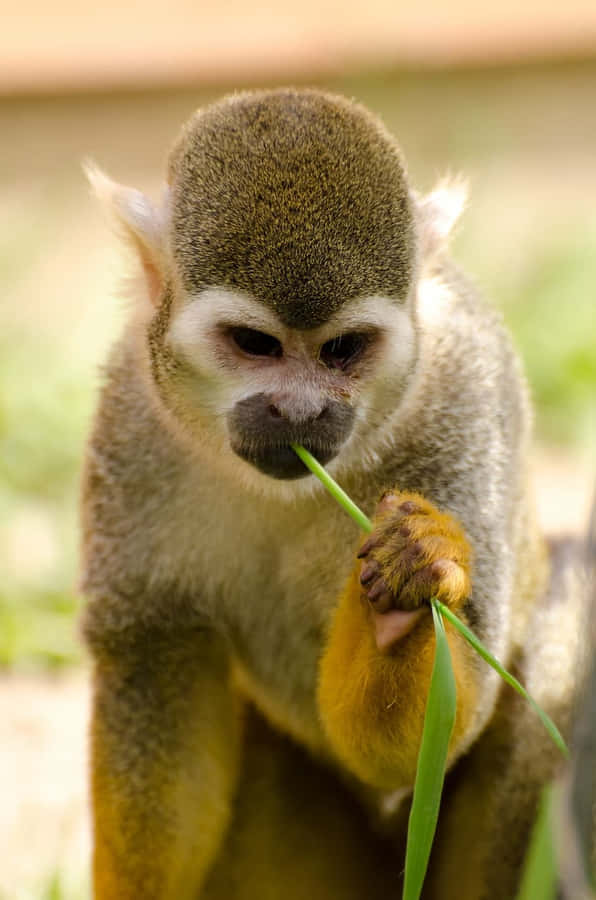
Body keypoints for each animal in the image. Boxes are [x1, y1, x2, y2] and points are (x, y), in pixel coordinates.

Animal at [80, 87, 591, 899]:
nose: (299, 413)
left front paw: (407, 590)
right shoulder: (133, 414)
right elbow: (158, 665)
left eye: (343, 349)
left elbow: (437, 727)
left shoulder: (470, 387)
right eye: (255, 345)